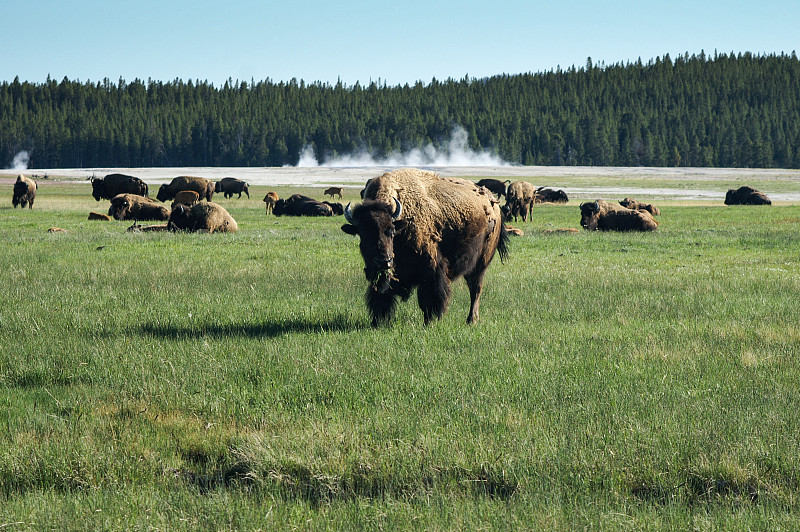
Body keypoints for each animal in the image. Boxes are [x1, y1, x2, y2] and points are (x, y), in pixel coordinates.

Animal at [342, 168, 506, 326]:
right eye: (363, 234)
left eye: (391, 230)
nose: (384, 261)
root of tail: (493, 203)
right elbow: (380, 296)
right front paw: (376, 322)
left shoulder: (432, 268)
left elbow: (429, 298)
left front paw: (430, 322)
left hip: (481, 262)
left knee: (475, 289)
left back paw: (471, 320)